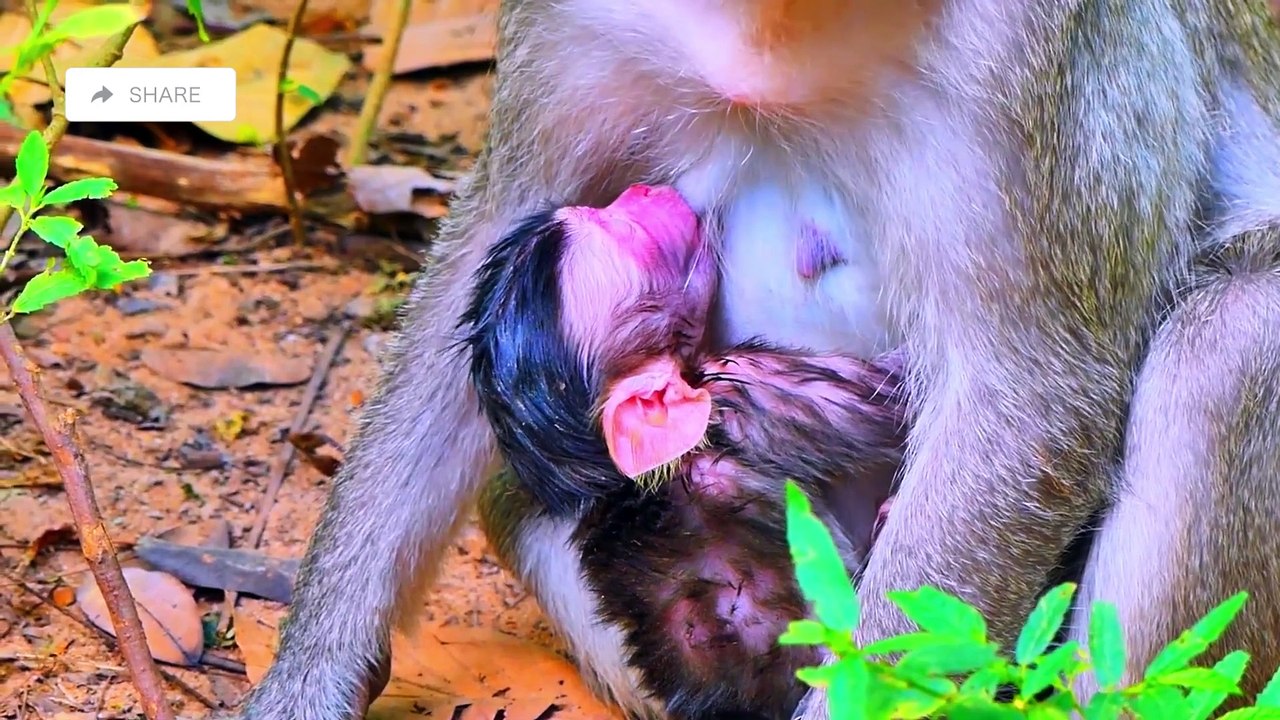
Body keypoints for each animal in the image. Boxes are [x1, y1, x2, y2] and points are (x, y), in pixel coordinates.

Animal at [463, 183, 908, 719]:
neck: (619, 484)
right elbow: (888, 408)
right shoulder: (736, 385)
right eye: (627, 233)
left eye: (603, 212)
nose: (641, 190)